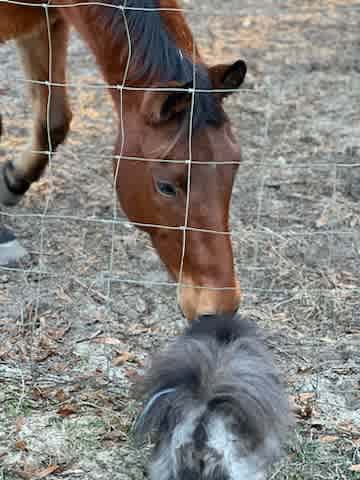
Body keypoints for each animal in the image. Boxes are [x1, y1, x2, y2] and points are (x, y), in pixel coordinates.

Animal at [0, 0, 248, 322]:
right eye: (165, 186)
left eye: (234, 165)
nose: (221, 307)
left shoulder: (46, 19)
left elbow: (53, 121)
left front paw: (14, 179)